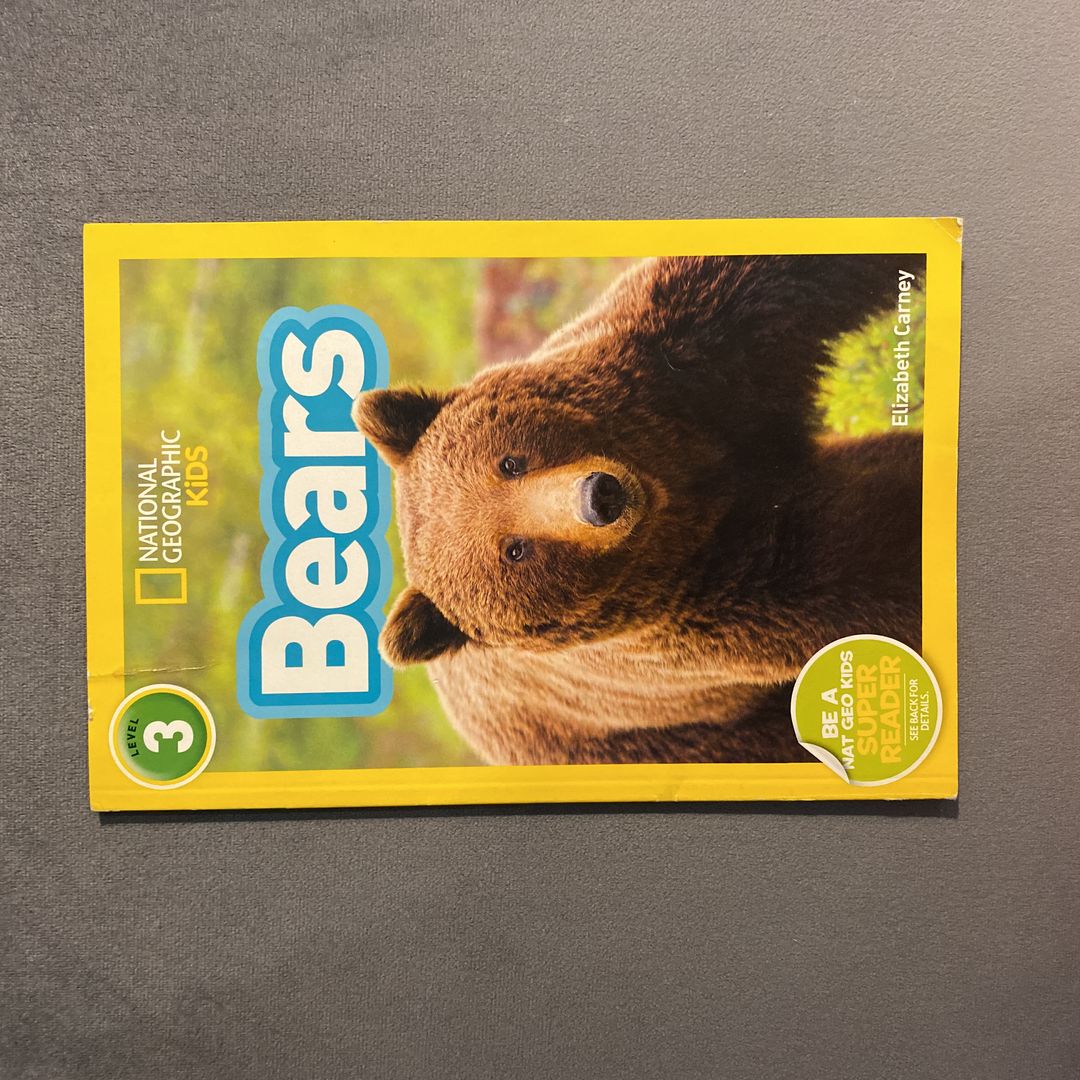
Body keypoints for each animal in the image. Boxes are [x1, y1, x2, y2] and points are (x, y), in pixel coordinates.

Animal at [353, 254, 923, 765]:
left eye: (509, 463)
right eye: (515, 550)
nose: (598, 497)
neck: (675, 485)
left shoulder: (682, 355)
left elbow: (780, 274)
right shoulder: (705, 607)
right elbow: (861, 556)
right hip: (663, 736)